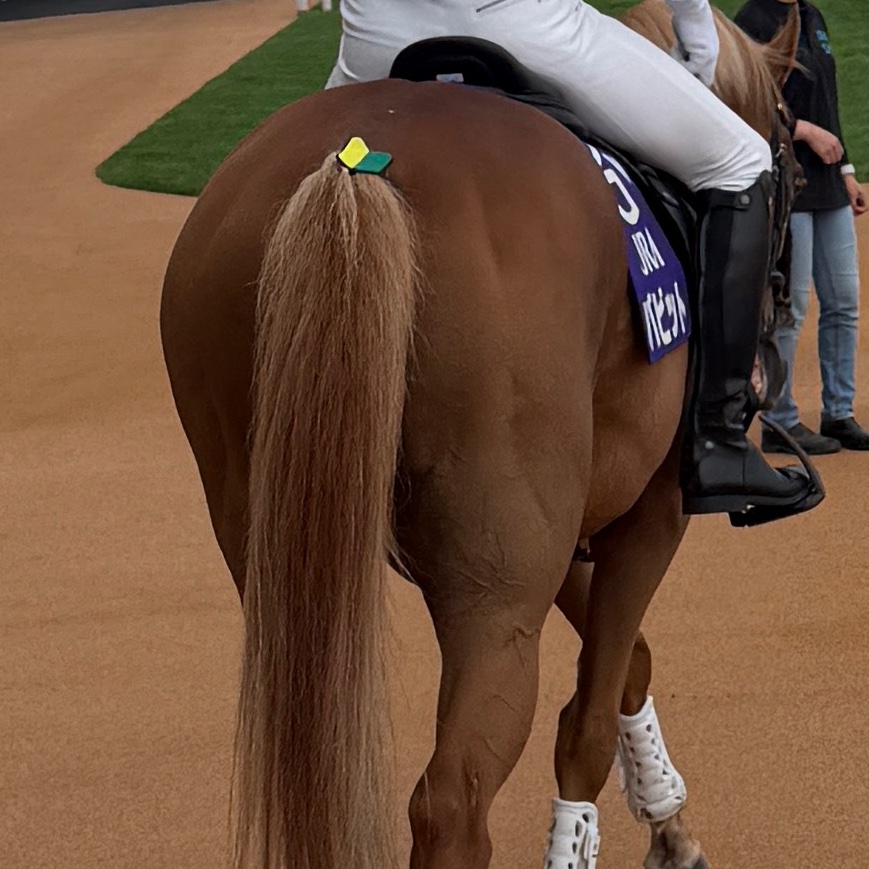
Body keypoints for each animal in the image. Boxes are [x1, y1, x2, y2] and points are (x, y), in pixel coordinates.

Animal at [158, 2, 802, 867]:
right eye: (789, 136)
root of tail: (356, 166)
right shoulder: (646, 516)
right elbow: (588, 716)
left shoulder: (567, 534)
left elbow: (627, 663)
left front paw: (668, 820)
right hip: (496, 593)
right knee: (451, 800)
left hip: (283, 560)